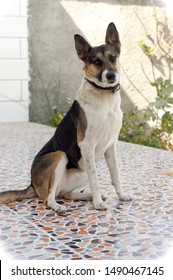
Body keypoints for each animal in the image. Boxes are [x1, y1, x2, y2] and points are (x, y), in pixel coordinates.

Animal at [0, 23, 131, 213]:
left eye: (112, 57)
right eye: (97, 62)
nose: (111, 75)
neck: (104, 97)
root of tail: (32, 184)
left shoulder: (110, 145)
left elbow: (116, 174)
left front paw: (120, 195)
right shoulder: (86, 145)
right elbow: (96, 180)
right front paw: (98, 202)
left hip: (81, 173)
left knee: (66, 194)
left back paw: (86, 196)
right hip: (59, 156)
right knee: (48, 198)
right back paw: (59, 206)